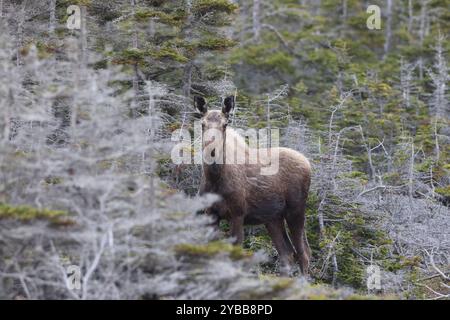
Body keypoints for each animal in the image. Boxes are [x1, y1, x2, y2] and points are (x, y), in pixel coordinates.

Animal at [195, 95, 312, 276]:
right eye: (203, 124)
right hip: (273, 218)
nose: (212, 150)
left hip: (295, 210)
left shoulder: (238, 213)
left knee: (304, 253)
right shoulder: (211, 213)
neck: (214, 181)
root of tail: (308, 163)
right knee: (287, 254)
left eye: (225, 124)